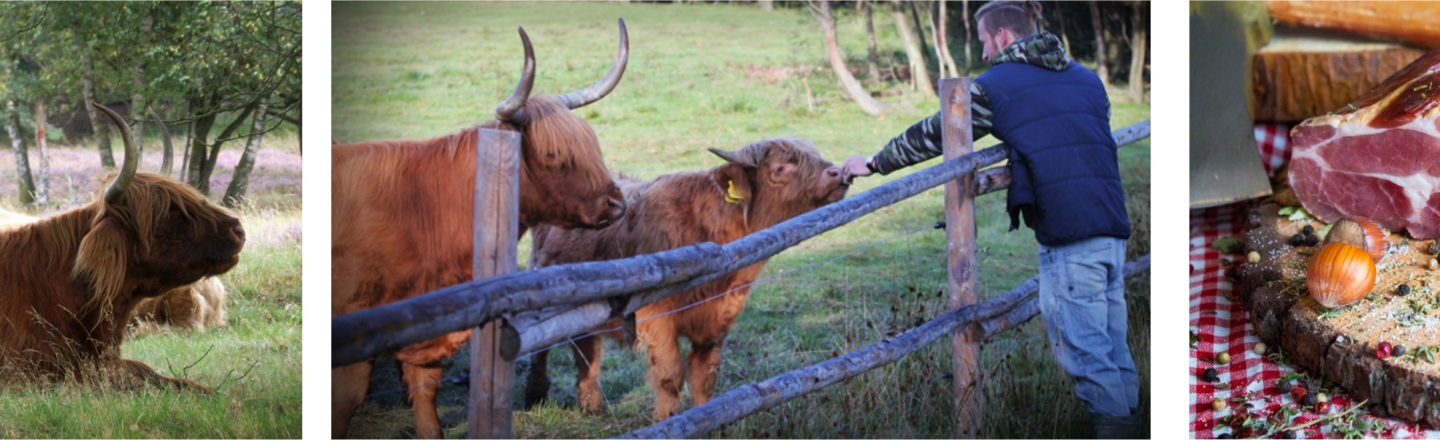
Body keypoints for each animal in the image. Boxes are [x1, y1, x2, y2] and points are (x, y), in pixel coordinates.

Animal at [527, 136, 840, 419]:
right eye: (780, 168)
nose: (838, 172)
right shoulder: (655, 316)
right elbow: (670, 376)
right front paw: (664, 421)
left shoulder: (717, 319)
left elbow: (704, 376)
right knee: (543, 345)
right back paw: (536, 395)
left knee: (586, 350)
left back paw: (590, 407)